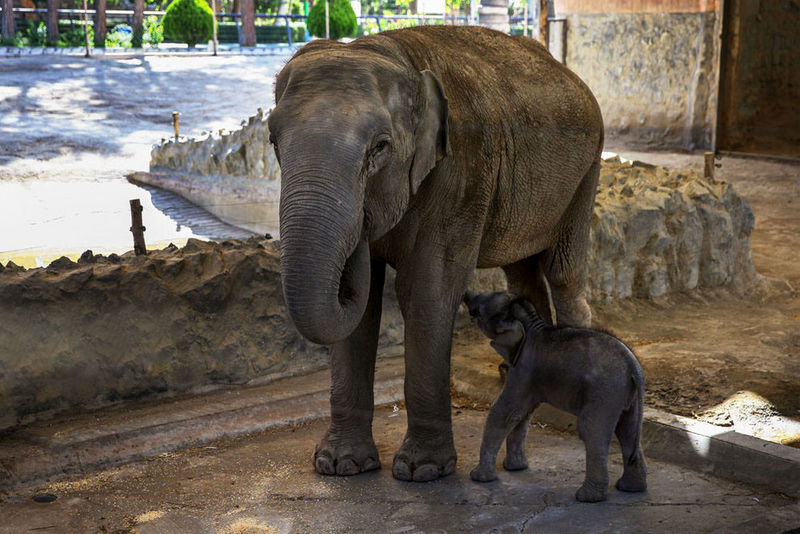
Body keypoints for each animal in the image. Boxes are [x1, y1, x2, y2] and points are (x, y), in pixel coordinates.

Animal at [268, 26, 600, 486]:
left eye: (380, 147)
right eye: (272, 140)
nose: (363, 226)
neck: (393, 54)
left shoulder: (463, 170)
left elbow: (428, 289)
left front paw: (423, 470)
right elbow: (363, 312)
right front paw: (340, 465)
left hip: (587, 170)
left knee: (562, 270)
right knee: (522, 271)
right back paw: (514, 372)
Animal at [466, 292, 648, 504]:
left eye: (479, 310)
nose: (466, 295)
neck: (530, 322)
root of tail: (634, 367)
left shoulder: (522, 369)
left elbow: (505, 412)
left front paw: (478, 478)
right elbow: (522, 415)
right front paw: (515, 468)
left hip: (605, 391)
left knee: (591, 429)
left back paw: (587, 498)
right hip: (625, 394)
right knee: (627, 429)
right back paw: (630, 488)